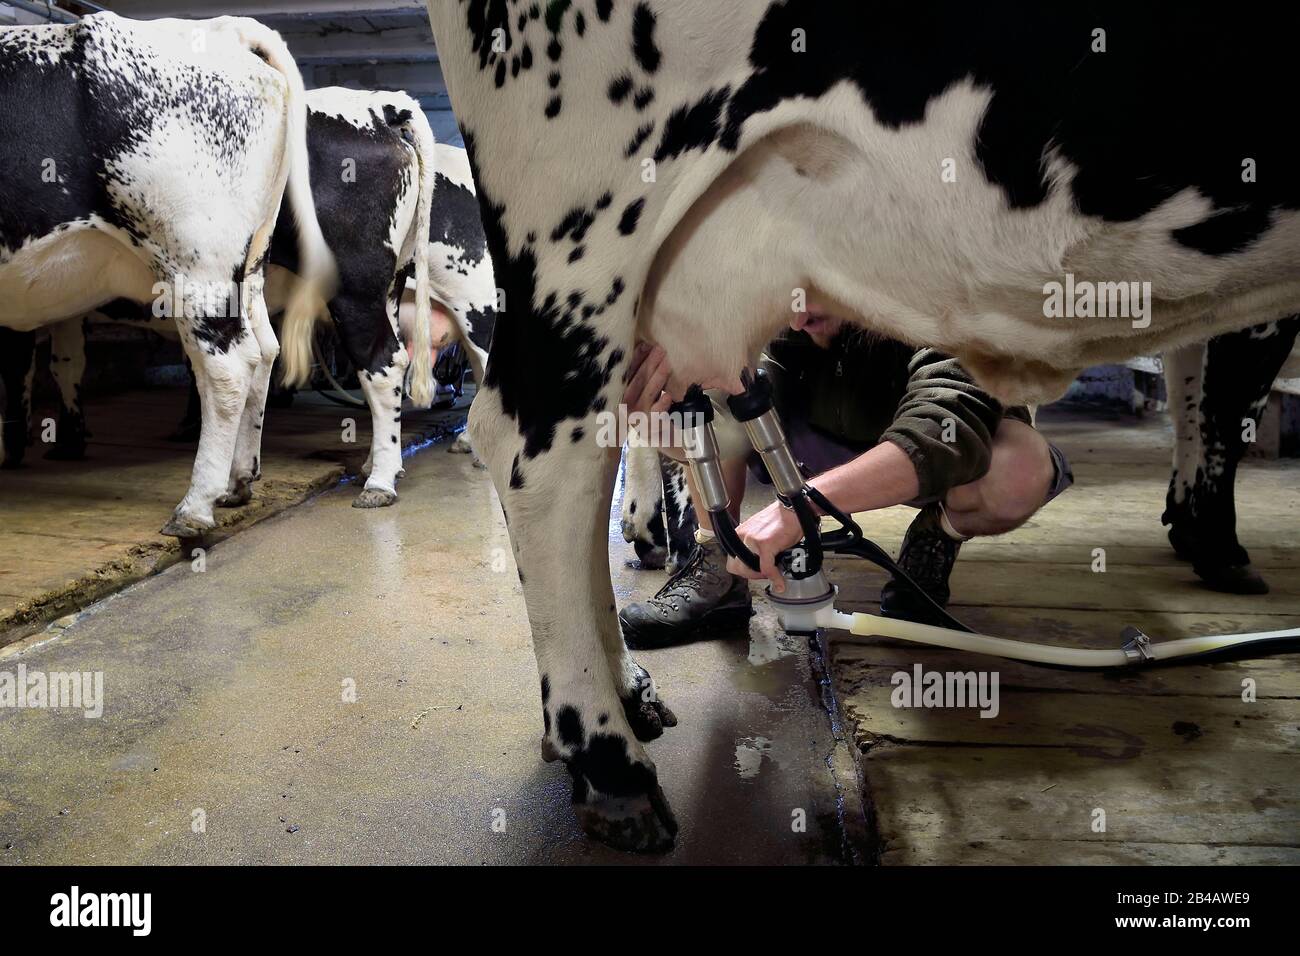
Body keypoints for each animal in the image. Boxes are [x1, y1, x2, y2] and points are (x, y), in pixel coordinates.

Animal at [1, 13, 335, 538]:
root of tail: (225, 28)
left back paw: (195, 507)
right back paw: (238, 483)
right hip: (245, 267)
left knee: (226, 367)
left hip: (197, 259)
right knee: (263, 351)